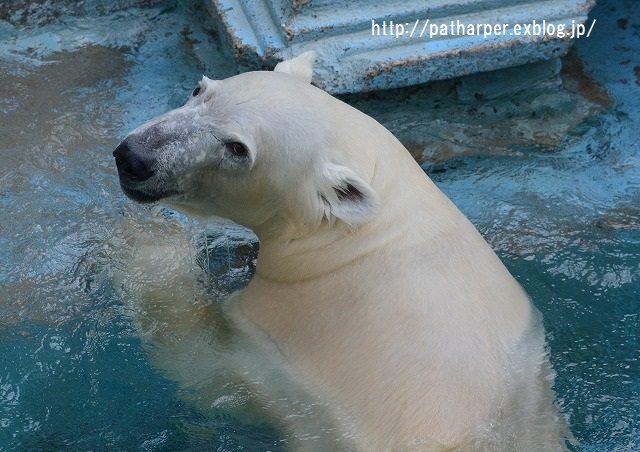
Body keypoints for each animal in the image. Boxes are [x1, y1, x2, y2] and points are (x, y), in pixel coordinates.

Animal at [112, 52, 568, 448]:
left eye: (237, 148)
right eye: (198, 89)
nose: (134, 157)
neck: (356, 239)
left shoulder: (293, 330)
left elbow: (201, 364)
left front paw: (147, 244)